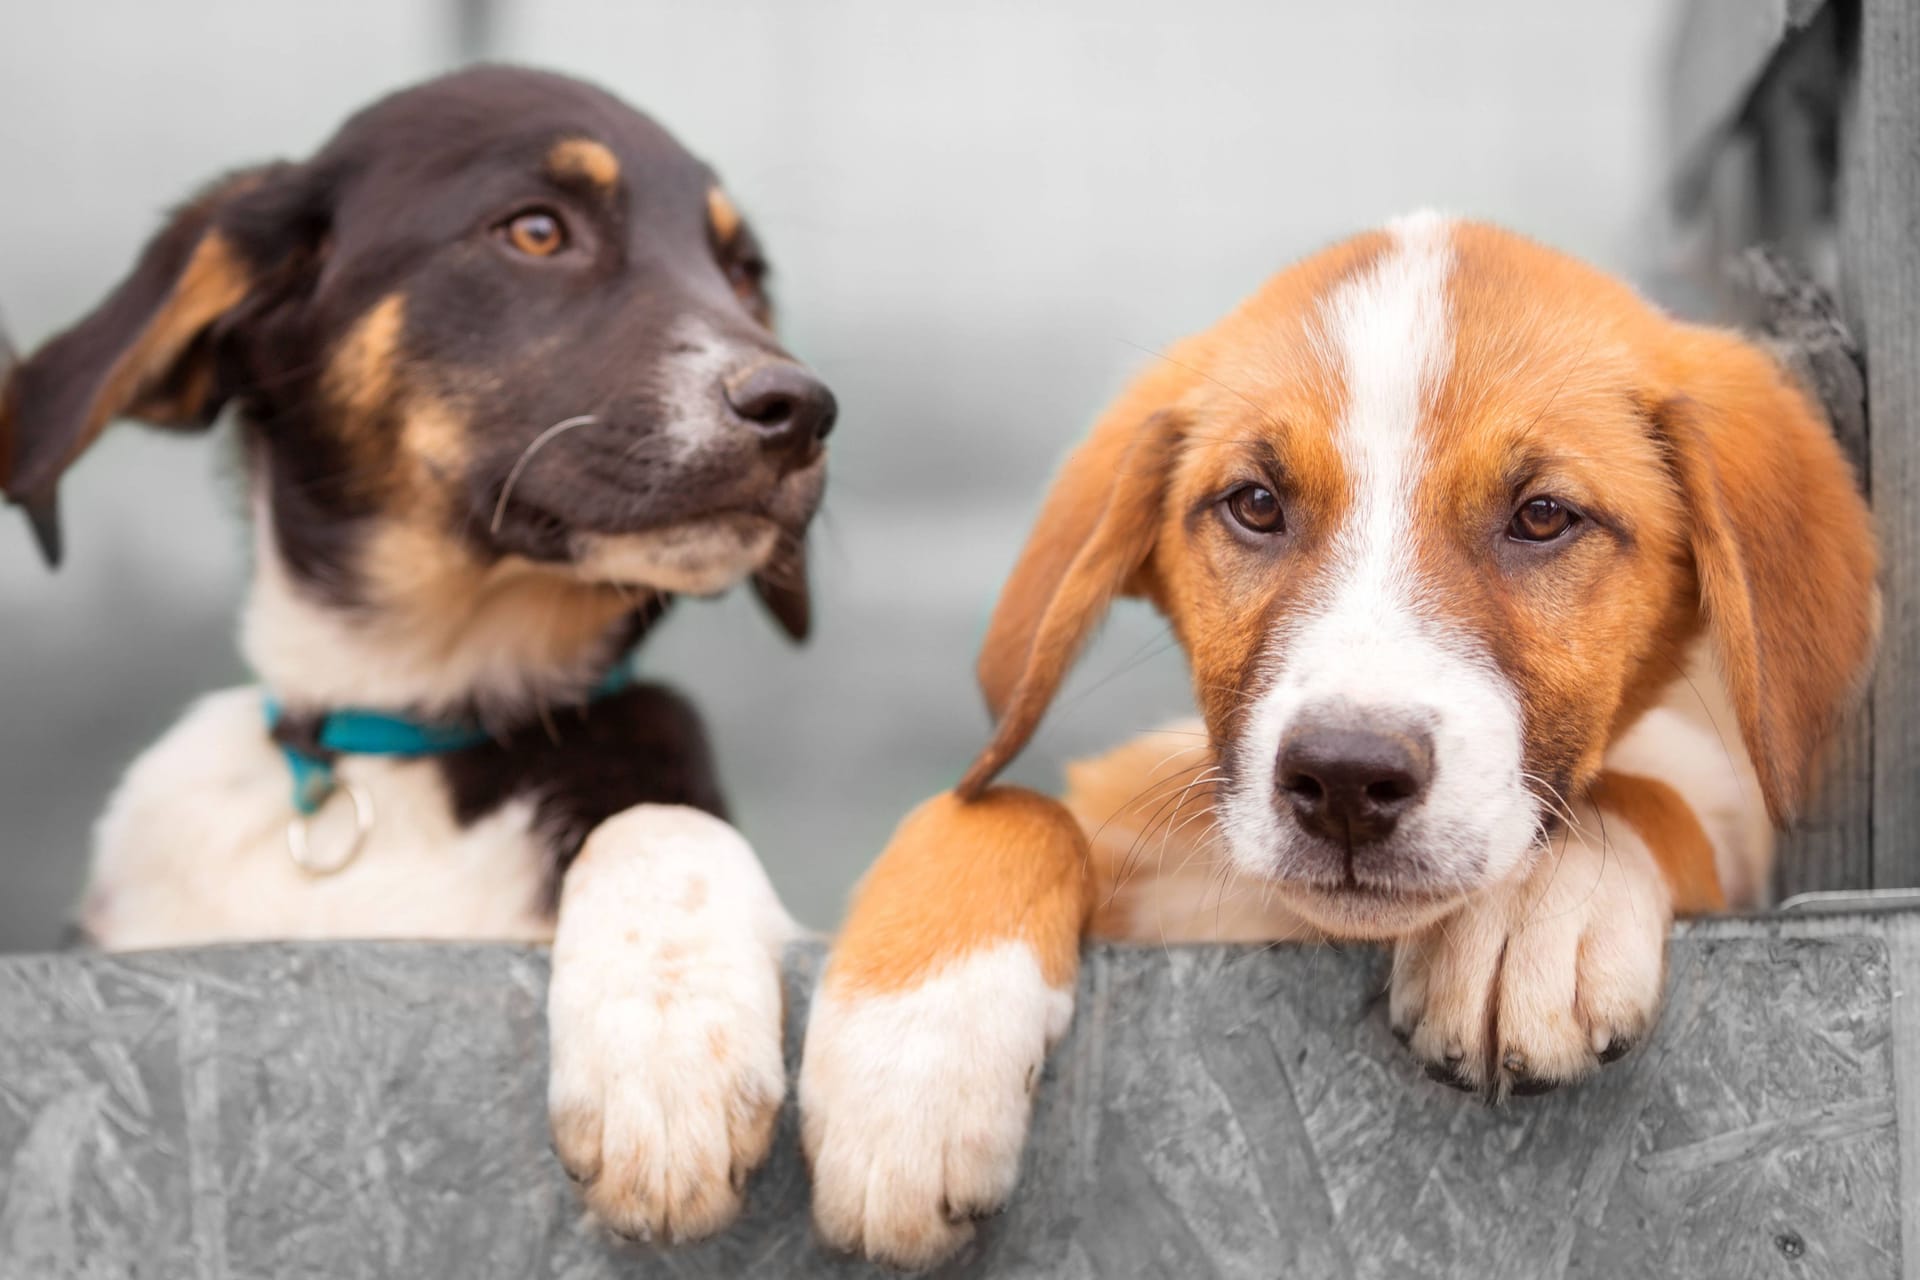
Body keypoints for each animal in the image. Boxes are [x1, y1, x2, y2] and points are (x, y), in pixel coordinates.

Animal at [794, 214, 1873, 1266]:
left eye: (1542, 516)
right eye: (1256, 505)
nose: (1347, 778)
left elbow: (1646, 792)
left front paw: (1534, 905)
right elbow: (996, 803)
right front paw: (909, 1062)